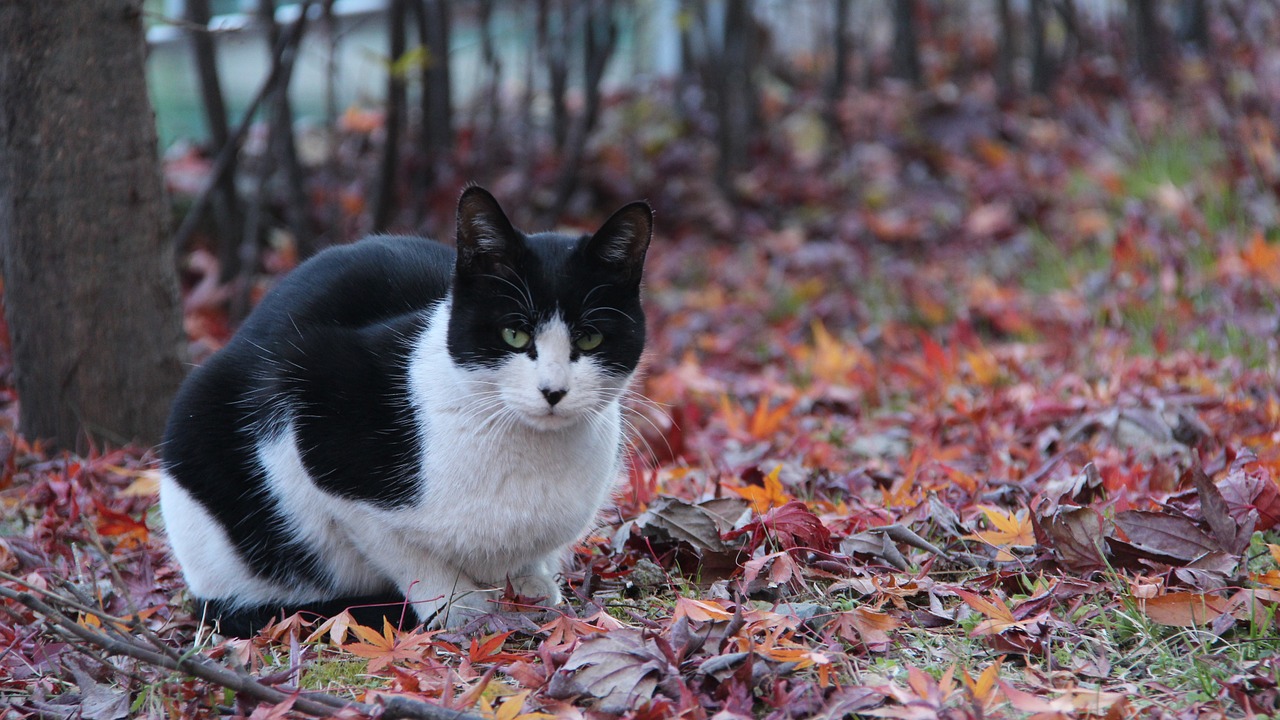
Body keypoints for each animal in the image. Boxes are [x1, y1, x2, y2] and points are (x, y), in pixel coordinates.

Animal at [161, 185, 655, 632]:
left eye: (589, 339)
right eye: (514, 334)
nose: (553, 391)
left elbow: (531, 557)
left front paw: (533, 586)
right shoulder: (310, 404)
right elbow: (403, 552)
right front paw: (461, 609)